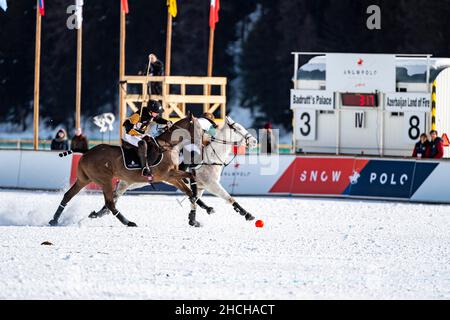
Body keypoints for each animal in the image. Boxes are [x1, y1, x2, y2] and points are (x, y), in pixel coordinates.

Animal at [49, 115, 204, 228]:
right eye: (199, 128)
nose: (202, 144)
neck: (168, 145)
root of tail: (86, 152)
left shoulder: (172, 177)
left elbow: (189, 189)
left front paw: (194, 217)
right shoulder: (168, 175)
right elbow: (191, 178)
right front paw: (195, 212)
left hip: (84, 179)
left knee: (68, 195)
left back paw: (54, 220)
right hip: (105, 181)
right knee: (110, 203)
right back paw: (128, 222)